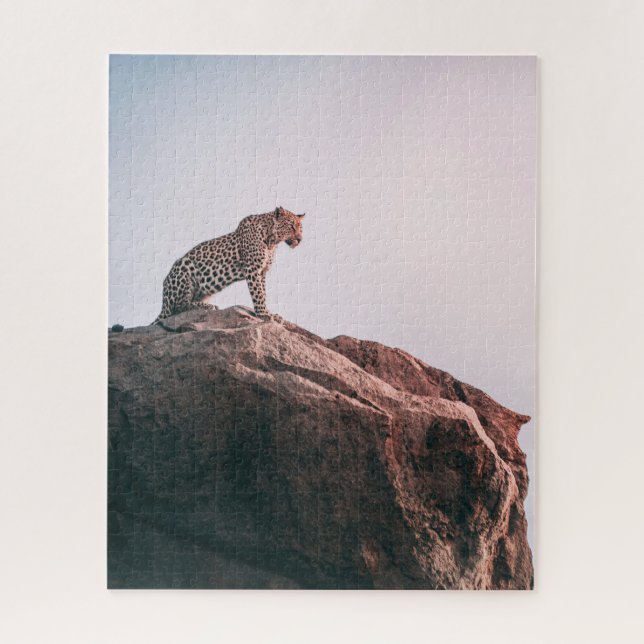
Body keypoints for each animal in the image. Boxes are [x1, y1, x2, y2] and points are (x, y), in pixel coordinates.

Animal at [153, 206, 305, 324]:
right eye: (291, 226)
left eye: (300, 228)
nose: (300, 239)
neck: (272, 241)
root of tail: (163, 300)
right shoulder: (252, 269)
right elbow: (258, 294)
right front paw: (264, 314)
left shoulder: (262, 272)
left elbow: (263, 293)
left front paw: (269, 313)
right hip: (184, 266)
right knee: (178, 307)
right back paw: (207, 306)